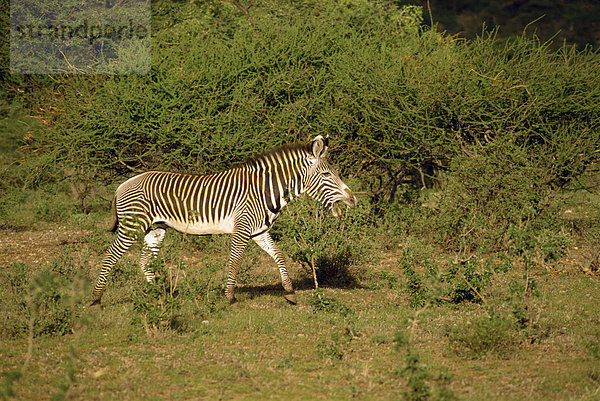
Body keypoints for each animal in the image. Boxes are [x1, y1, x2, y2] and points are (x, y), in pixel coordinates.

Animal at [90, 136, 356, 304]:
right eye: (326, 174)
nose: (353, 199)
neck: (263, 191)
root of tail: (124, 184)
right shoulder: (242, 228)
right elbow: (234, 262)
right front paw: (230, 297)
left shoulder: (259, 231)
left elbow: (279, 255)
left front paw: (290, 293)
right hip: (133, 225)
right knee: (110, 256)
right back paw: (96, 299)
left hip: (156, 227)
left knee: (145, 261)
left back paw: (155, 294)